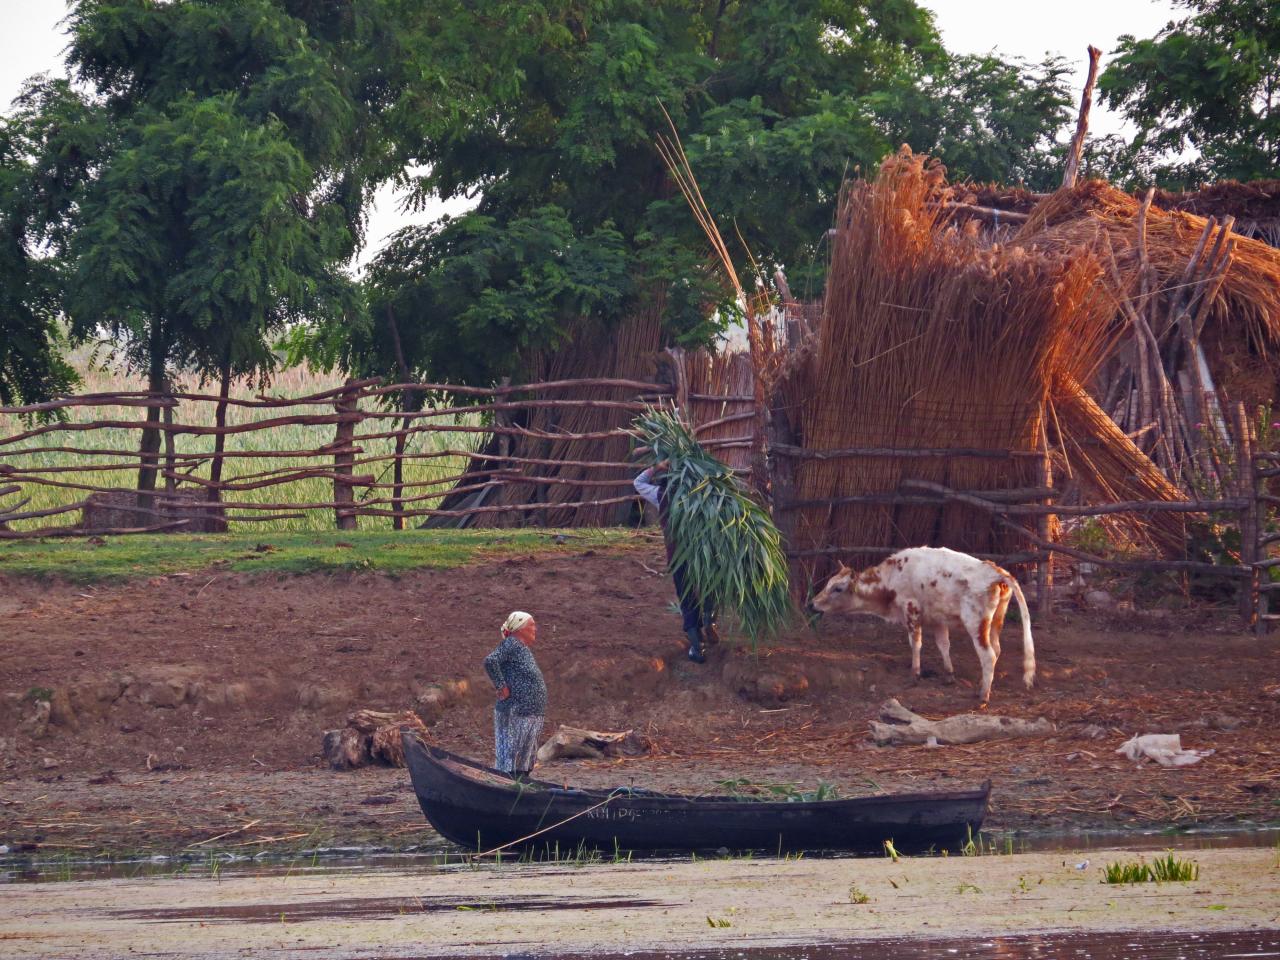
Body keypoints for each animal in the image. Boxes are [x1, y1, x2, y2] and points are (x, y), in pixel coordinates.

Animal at [814, 547, 1034, 706]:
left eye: (837, 588)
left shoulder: (911, 610)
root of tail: (996, 571)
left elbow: (916, 644)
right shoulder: (938, 619)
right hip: (997, 620)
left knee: (988, 655)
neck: (892, 578)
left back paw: (983, 695)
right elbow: (943, 645)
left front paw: (915, 674)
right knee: (996, 650)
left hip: (976, 623)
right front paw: (949, 675)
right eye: (828, 583)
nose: (812, 603)